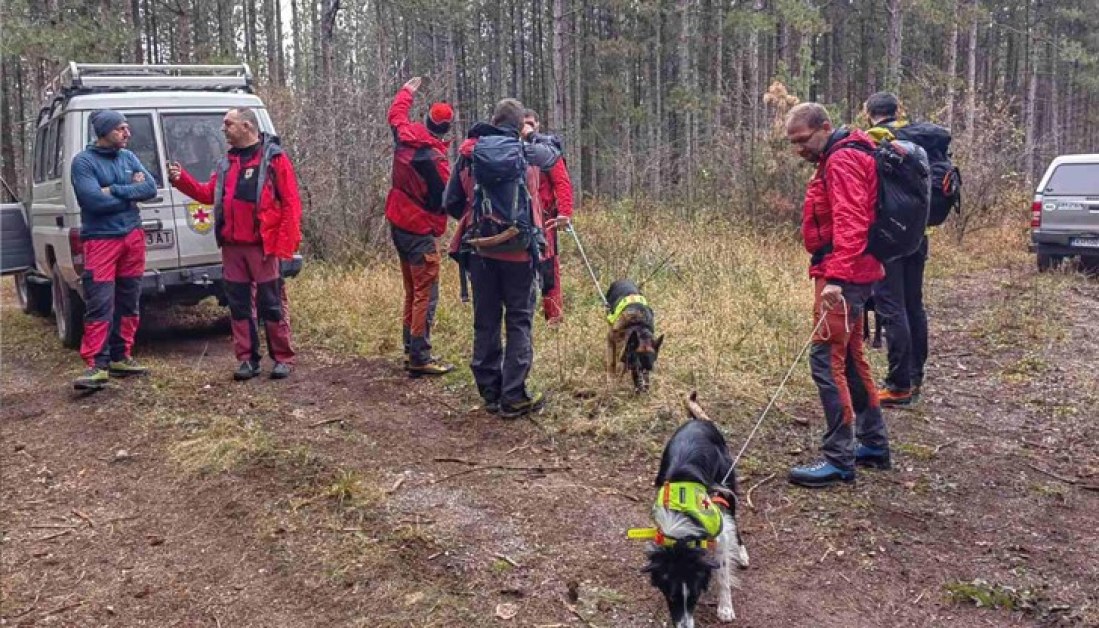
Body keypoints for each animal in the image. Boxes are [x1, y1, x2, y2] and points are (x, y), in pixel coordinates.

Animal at [641, 395, 751, 624]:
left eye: (695, 596)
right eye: (670, 596)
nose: (684, 626)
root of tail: (701, 422)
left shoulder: (719, 531)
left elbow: (723, 574)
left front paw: (725, 608)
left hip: (726, 484)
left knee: (734, 520)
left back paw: (742, 552)